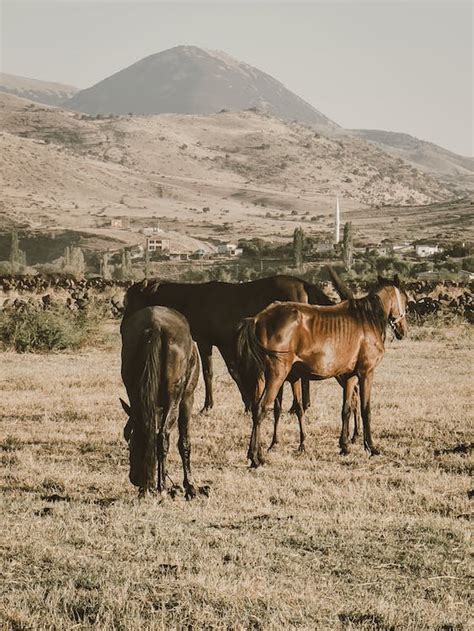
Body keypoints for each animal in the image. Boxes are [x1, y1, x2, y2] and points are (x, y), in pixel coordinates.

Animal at [120, 306, 200, 498]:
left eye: (129, 439)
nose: (134, 477)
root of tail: (155, 326)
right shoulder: (187, 400)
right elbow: (184, 442)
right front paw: (189, 485)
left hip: (135, 394)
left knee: (148, 428)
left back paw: (147, 488)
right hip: (175, 399)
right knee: (163, 436)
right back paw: (162, 487)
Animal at [239, 276, 410, 470]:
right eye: (405, 300)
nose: (403, 331)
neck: (367, 320)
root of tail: (257, 319)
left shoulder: (350, 376)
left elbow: (346, 409)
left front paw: (344, 446)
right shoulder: (366, 373)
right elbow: (366, 409)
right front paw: (371, 447)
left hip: (262, 378)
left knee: (255, 409)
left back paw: (254, 454)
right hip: (277, 376)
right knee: (261, 409)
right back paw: (257, 458)